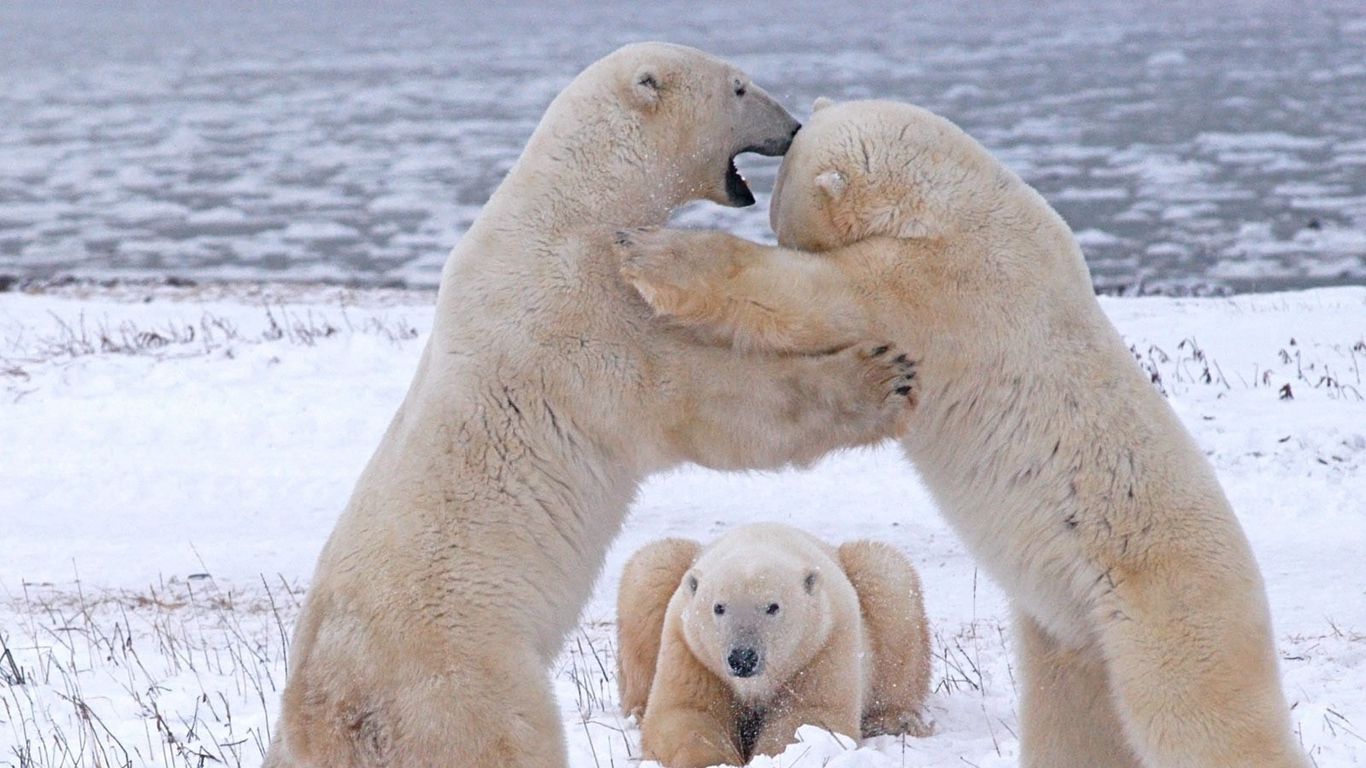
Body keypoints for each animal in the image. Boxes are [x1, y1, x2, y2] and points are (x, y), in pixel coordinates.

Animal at [617, 519, 928, 765]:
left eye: (772, 607)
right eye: (719, 607)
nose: (743, 657)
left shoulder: (822, 643)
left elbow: (806, 715)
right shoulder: (691, 649)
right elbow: (688, 712)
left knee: (890, 582)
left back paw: (895, 720)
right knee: (650, 571)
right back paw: (638, 710)